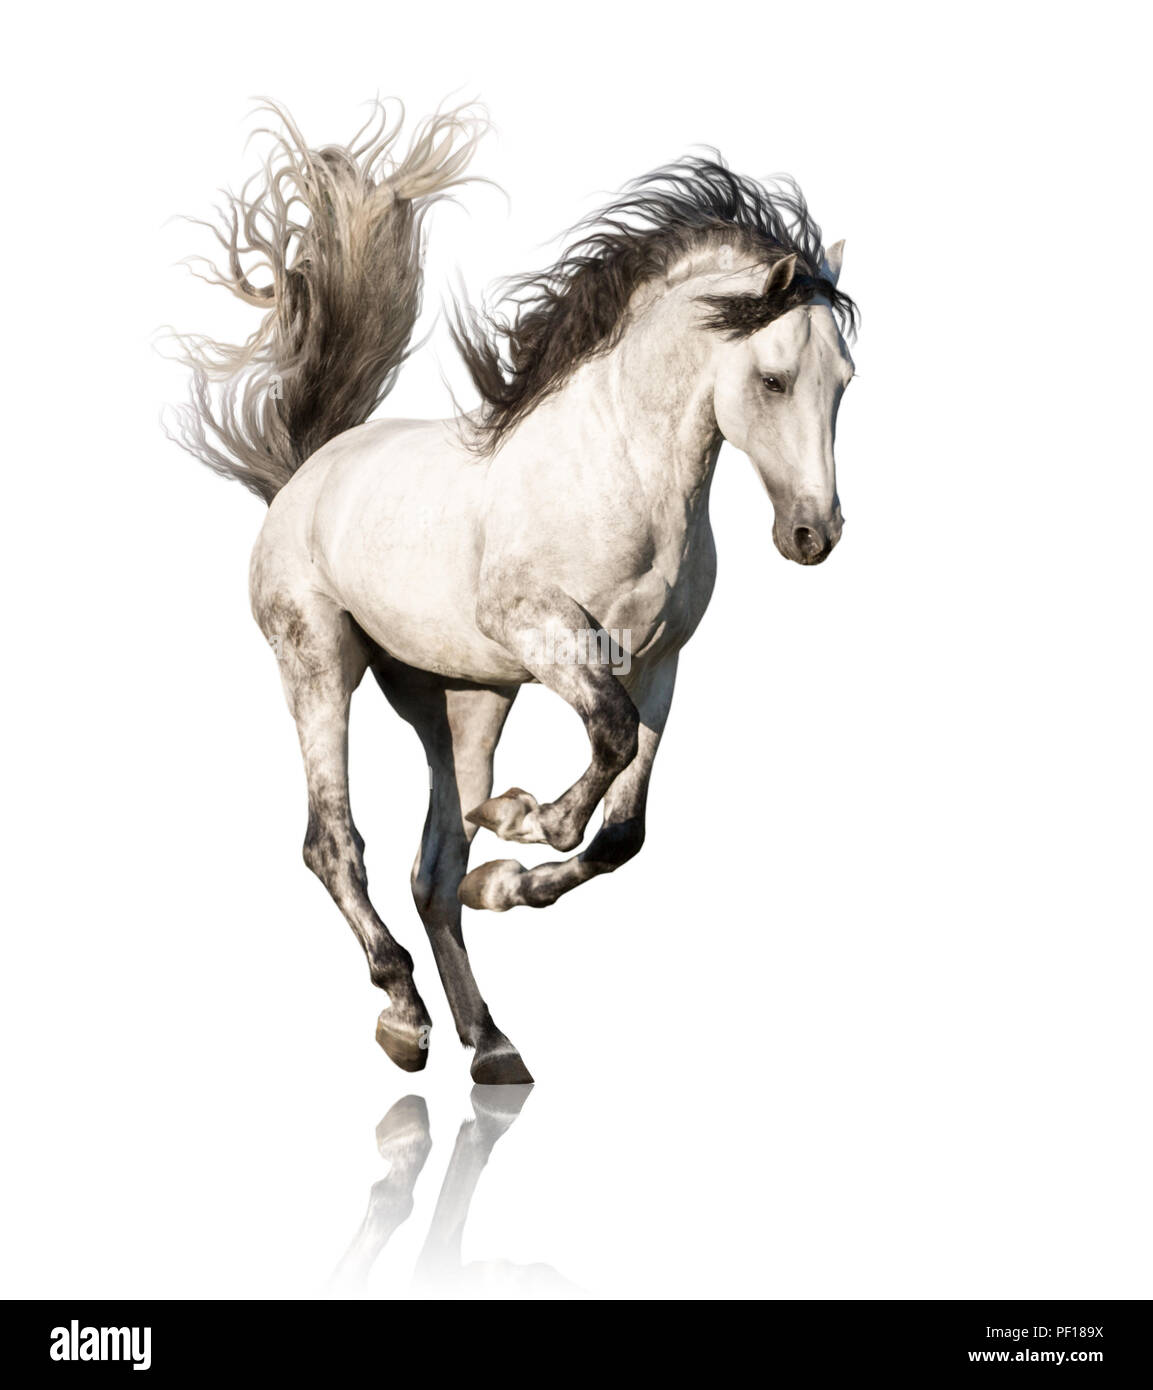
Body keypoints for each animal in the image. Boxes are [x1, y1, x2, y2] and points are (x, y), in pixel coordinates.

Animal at [170, 99, 858, 1085]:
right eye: (772, 379)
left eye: (843, 382)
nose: (813, 535)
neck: (619, 472)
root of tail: (307, 472)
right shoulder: (543, 631)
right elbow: (603, 745)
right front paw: (527, 820)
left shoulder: (659, 664)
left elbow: (621, 830)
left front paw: (505, 876)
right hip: (319, 663)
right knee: (333, 843)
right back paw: (404, 1015)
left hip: (463, 700)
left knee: (432, 868)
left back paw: (490, 1041)